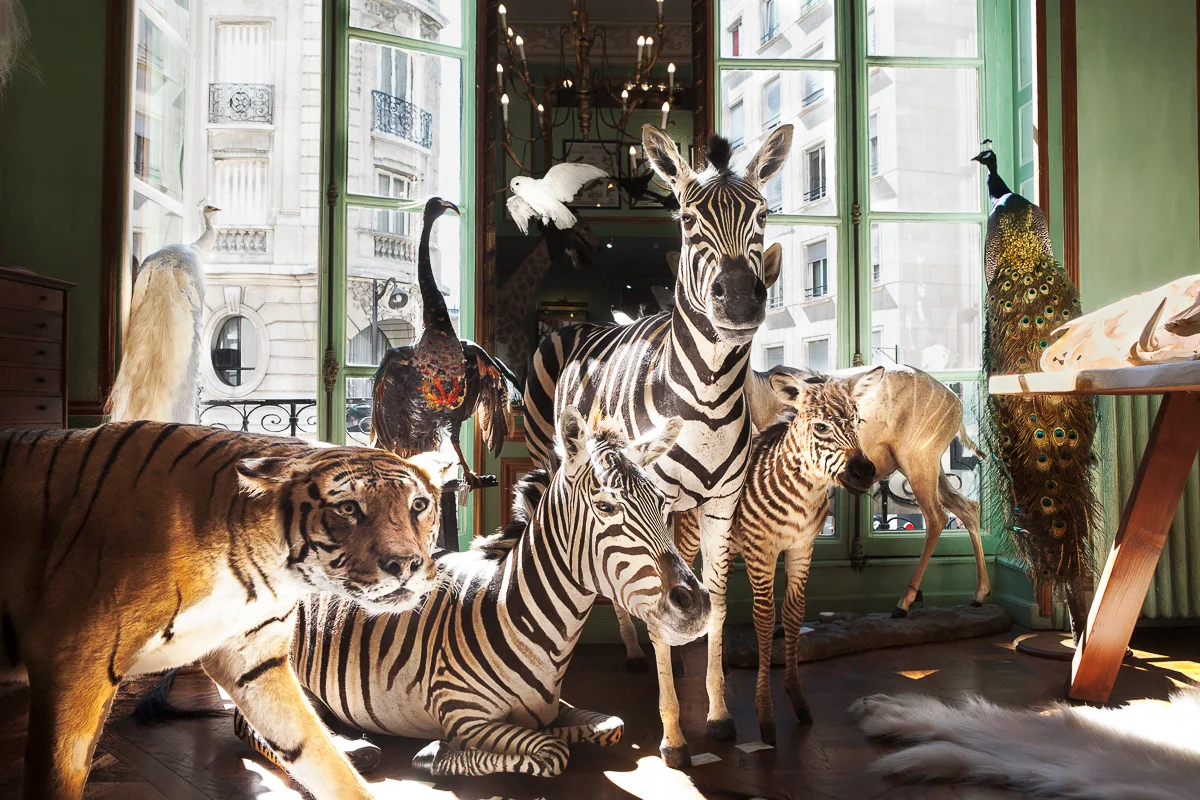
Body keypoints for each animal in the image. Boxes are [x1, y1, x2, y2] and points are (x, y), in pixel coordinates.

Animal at [0, 422, 451, 796]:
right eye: (348, 508)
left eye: (418, 505)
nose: (406, 565)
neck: (269, 571)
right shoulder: (74, 662)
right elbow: (60, 770)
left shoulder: (254, 660)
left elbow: (314, 750)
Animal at [523, 122, 787, 767]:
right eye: (688, 220)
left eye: (763, 214)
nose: (740, 301)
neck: (709, 394)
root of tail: (584, 324)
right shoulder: (656, 499)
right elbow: (653, 597)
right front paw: (672, 737)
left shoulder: (720, 506)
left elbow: (713, 599)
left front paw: (717, 716)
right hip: (554, 458)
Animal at [681, 369, 888, 743]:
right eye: (820, 427)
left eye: (858, 421)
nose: (865, 472)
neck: (805, 494)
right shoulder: (761, 550)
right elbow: (765, 618)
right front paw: (765, 713)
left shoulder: (802, 548)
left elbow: (793, 614)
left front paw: (797, 699)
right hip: (693, 533)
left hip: (727, 544)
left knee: (716, 594)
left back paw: (720, 660)